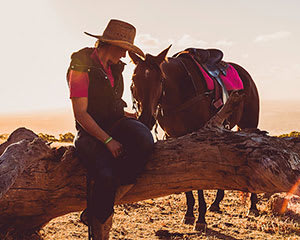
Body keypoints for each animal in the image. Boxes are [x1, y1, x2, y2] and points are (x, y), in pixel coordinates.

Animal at [129, 46, 260, 230]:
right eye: (134, 79)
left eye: (161, 79)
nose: (146, 118)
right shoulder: (175, 137)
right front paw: (190, 213)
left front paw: (201, 219)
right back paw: (216, 203)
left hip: (250, 124)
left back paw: (253, 206)